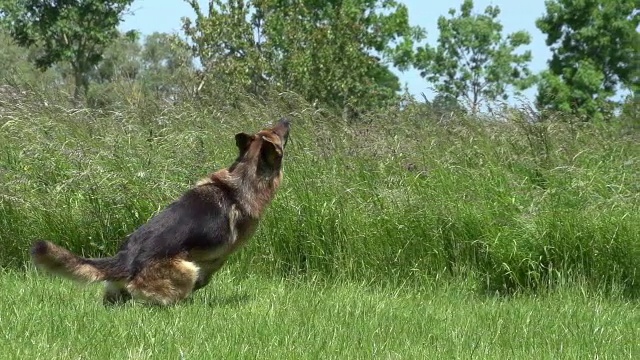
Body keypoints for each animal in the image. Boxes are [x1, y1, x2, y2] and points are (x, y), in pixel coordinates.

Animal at [30, 118, 290, 306]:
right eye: (275, 133)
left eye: (269, 128)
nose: (286, 120)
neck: (244, 176)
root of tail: (126, 258)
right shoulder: (223, 253)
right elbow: (211, 269)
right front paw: (203, 283)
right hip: (185, 270)